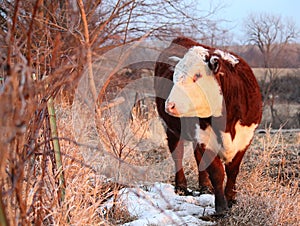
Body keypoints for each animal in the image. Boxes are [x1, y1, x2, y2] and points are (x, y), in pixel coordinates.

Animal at [155, 36, 262, 214]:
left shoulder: (245, 138)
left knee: (198, 158)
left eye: (197, 75)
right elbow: (217, 172)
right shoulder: (205, 138)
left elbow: (232, 171)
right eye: (174, 76)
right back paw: (181, 187)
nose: (169, 105)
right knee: (178, 154)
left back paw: (205, 186)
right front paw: (221, 207)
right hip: (170, 128)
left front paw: (231, 199)